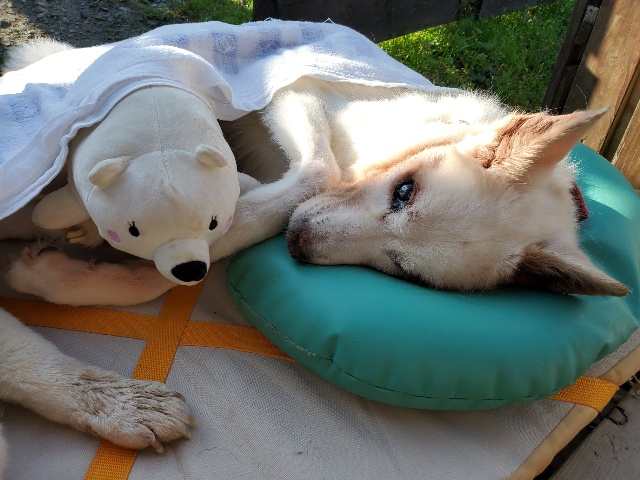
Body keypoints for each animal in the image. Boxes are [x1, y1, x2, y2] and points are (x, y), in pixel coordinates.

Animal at [0, 37, 630, 476]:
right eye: (405, 191)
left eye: (405, 270)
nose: (297, 243)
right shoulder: (293, 89)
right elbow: (313, 170)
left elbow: (184, 260)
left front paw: (71, 268)